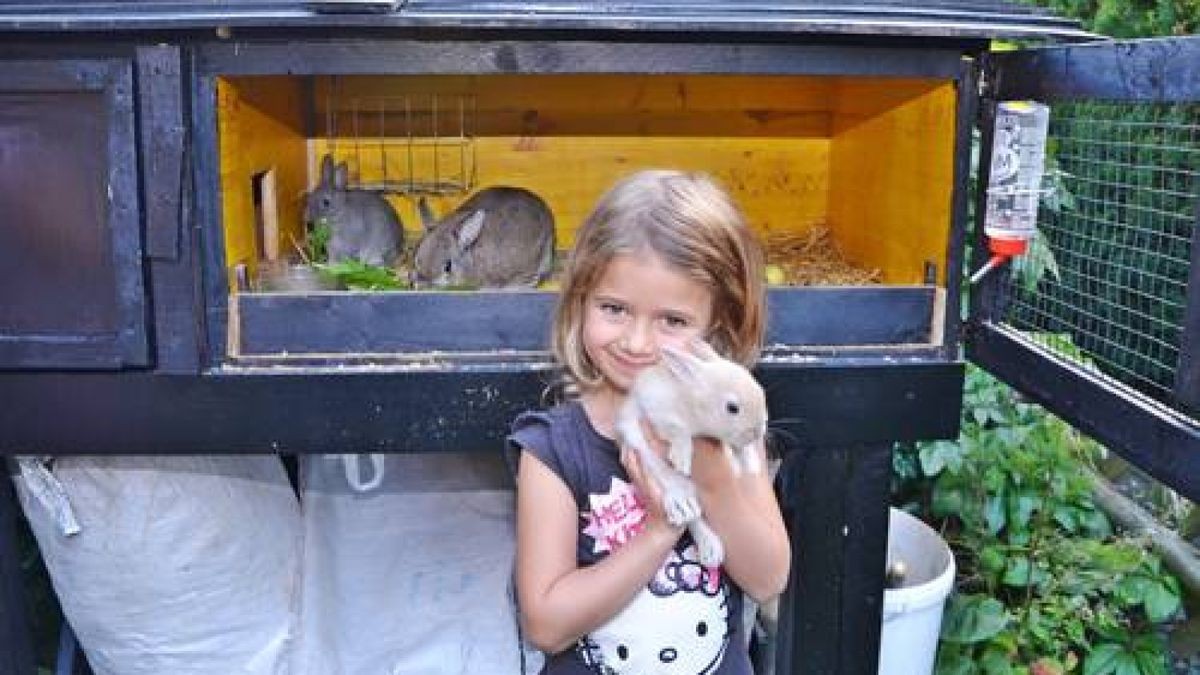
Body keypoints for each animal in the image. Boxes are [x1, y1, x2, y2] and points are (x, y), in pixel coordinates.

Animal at [614, 338, 772, 564]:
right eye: (732, 408)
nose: (758, 431)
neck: (692, 405)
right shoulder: (658, 412)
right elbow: (678, 431)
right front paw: (681, 459)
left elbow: (739, 449)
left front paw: (749, 463)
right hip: (652, 466)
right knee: (690, 513)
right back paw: (684, 507)